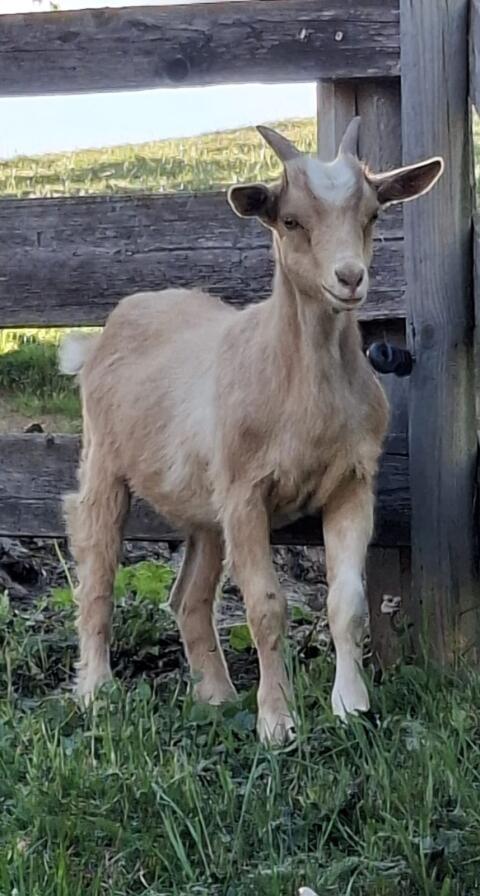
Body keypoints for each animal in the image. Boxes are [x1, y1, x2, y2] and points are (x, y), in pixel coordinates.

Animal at [59, 118, 443, 744]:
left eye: (373, 215)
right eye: (290, 221)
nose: (350, 278)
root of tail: (108, 329)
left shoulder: (351, 482)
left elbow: (348, 602)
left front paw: (351, 707)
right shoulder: (246, 491)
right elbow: (265, 606)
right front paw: (277, 722)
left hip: (204, 502)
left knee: (188, 597)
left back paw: (216, 695)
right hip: (103, 461)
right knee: (96, 573)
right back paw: (95, 691)